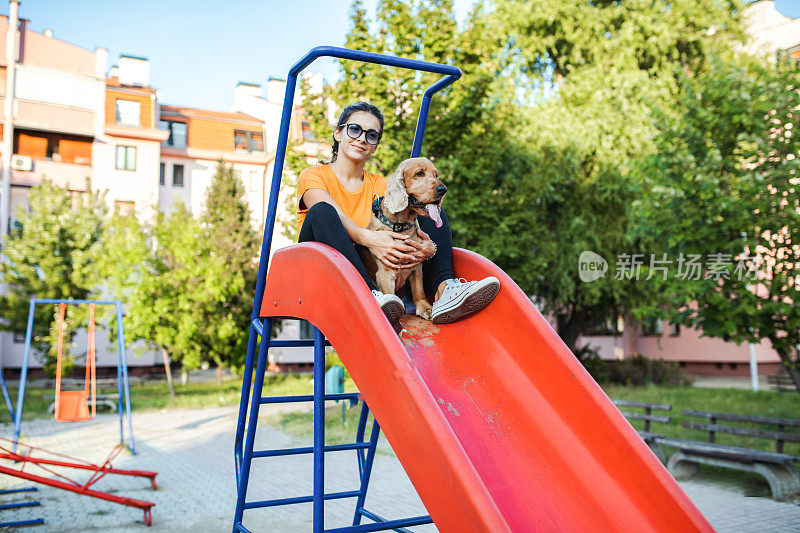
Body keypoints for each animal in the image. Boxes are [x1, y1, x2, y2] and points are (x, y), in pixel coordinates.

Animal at [360, 156, 446, 318]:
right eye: (419, 173)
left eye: (436, 175)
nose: (443, 190)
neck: (401, 226)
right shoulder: (385, 273)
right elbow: (390, 295)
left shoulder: (416, 265)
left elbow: (419, 290)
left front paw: (425, 309)